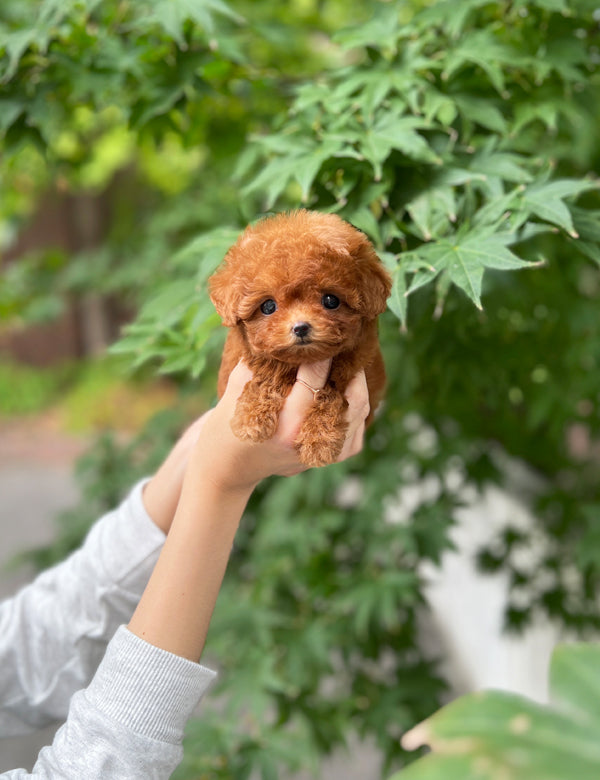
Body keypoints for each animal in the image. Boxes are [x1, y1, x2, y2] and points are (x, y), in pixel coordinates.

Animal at [209, 207, 392, 466]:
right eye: (268, 306)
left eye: (331, 300)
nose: (301, 328)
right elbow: (267, 373)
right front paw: (251, 419)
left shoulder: (357, 363)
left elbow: (330, 393)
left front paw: (319, 441)